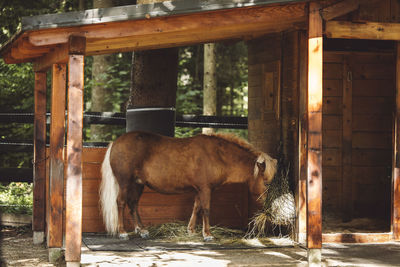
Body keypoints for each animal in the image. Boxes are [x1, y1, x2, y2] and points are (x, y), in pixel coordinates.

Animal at [98, 131, 276, 242]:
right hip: (125, 183)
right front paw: (207, 234)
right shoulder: (205, 189)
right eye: (266, 182)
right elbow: (206, 209)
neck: (217, 155)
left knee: (133, 204)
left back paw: (141, 230)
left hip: (138, 184)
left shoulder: (200, 190)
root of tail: (116, 142)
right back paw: (122, 232)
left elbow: (196, 207)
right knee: (121, 203)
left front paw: (191, 230)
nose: (269, 208)